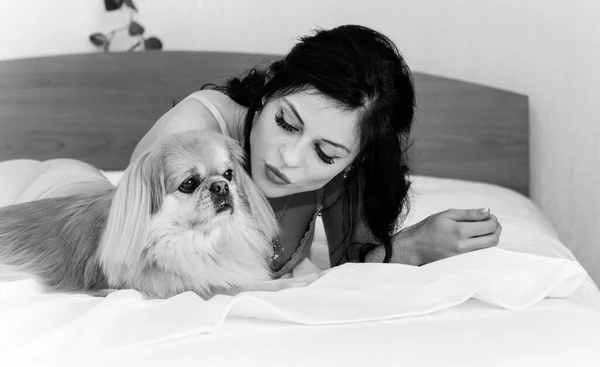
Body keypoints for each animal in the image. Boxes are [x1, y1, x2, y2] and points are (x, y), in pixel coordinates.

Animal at [0, 129, 310, 300]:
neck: (197, 240)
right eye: (189, 183)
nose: (221, 187)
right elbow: (248, 287)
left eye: (228, 175)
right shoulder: (192, 288)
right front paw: (301, 282)